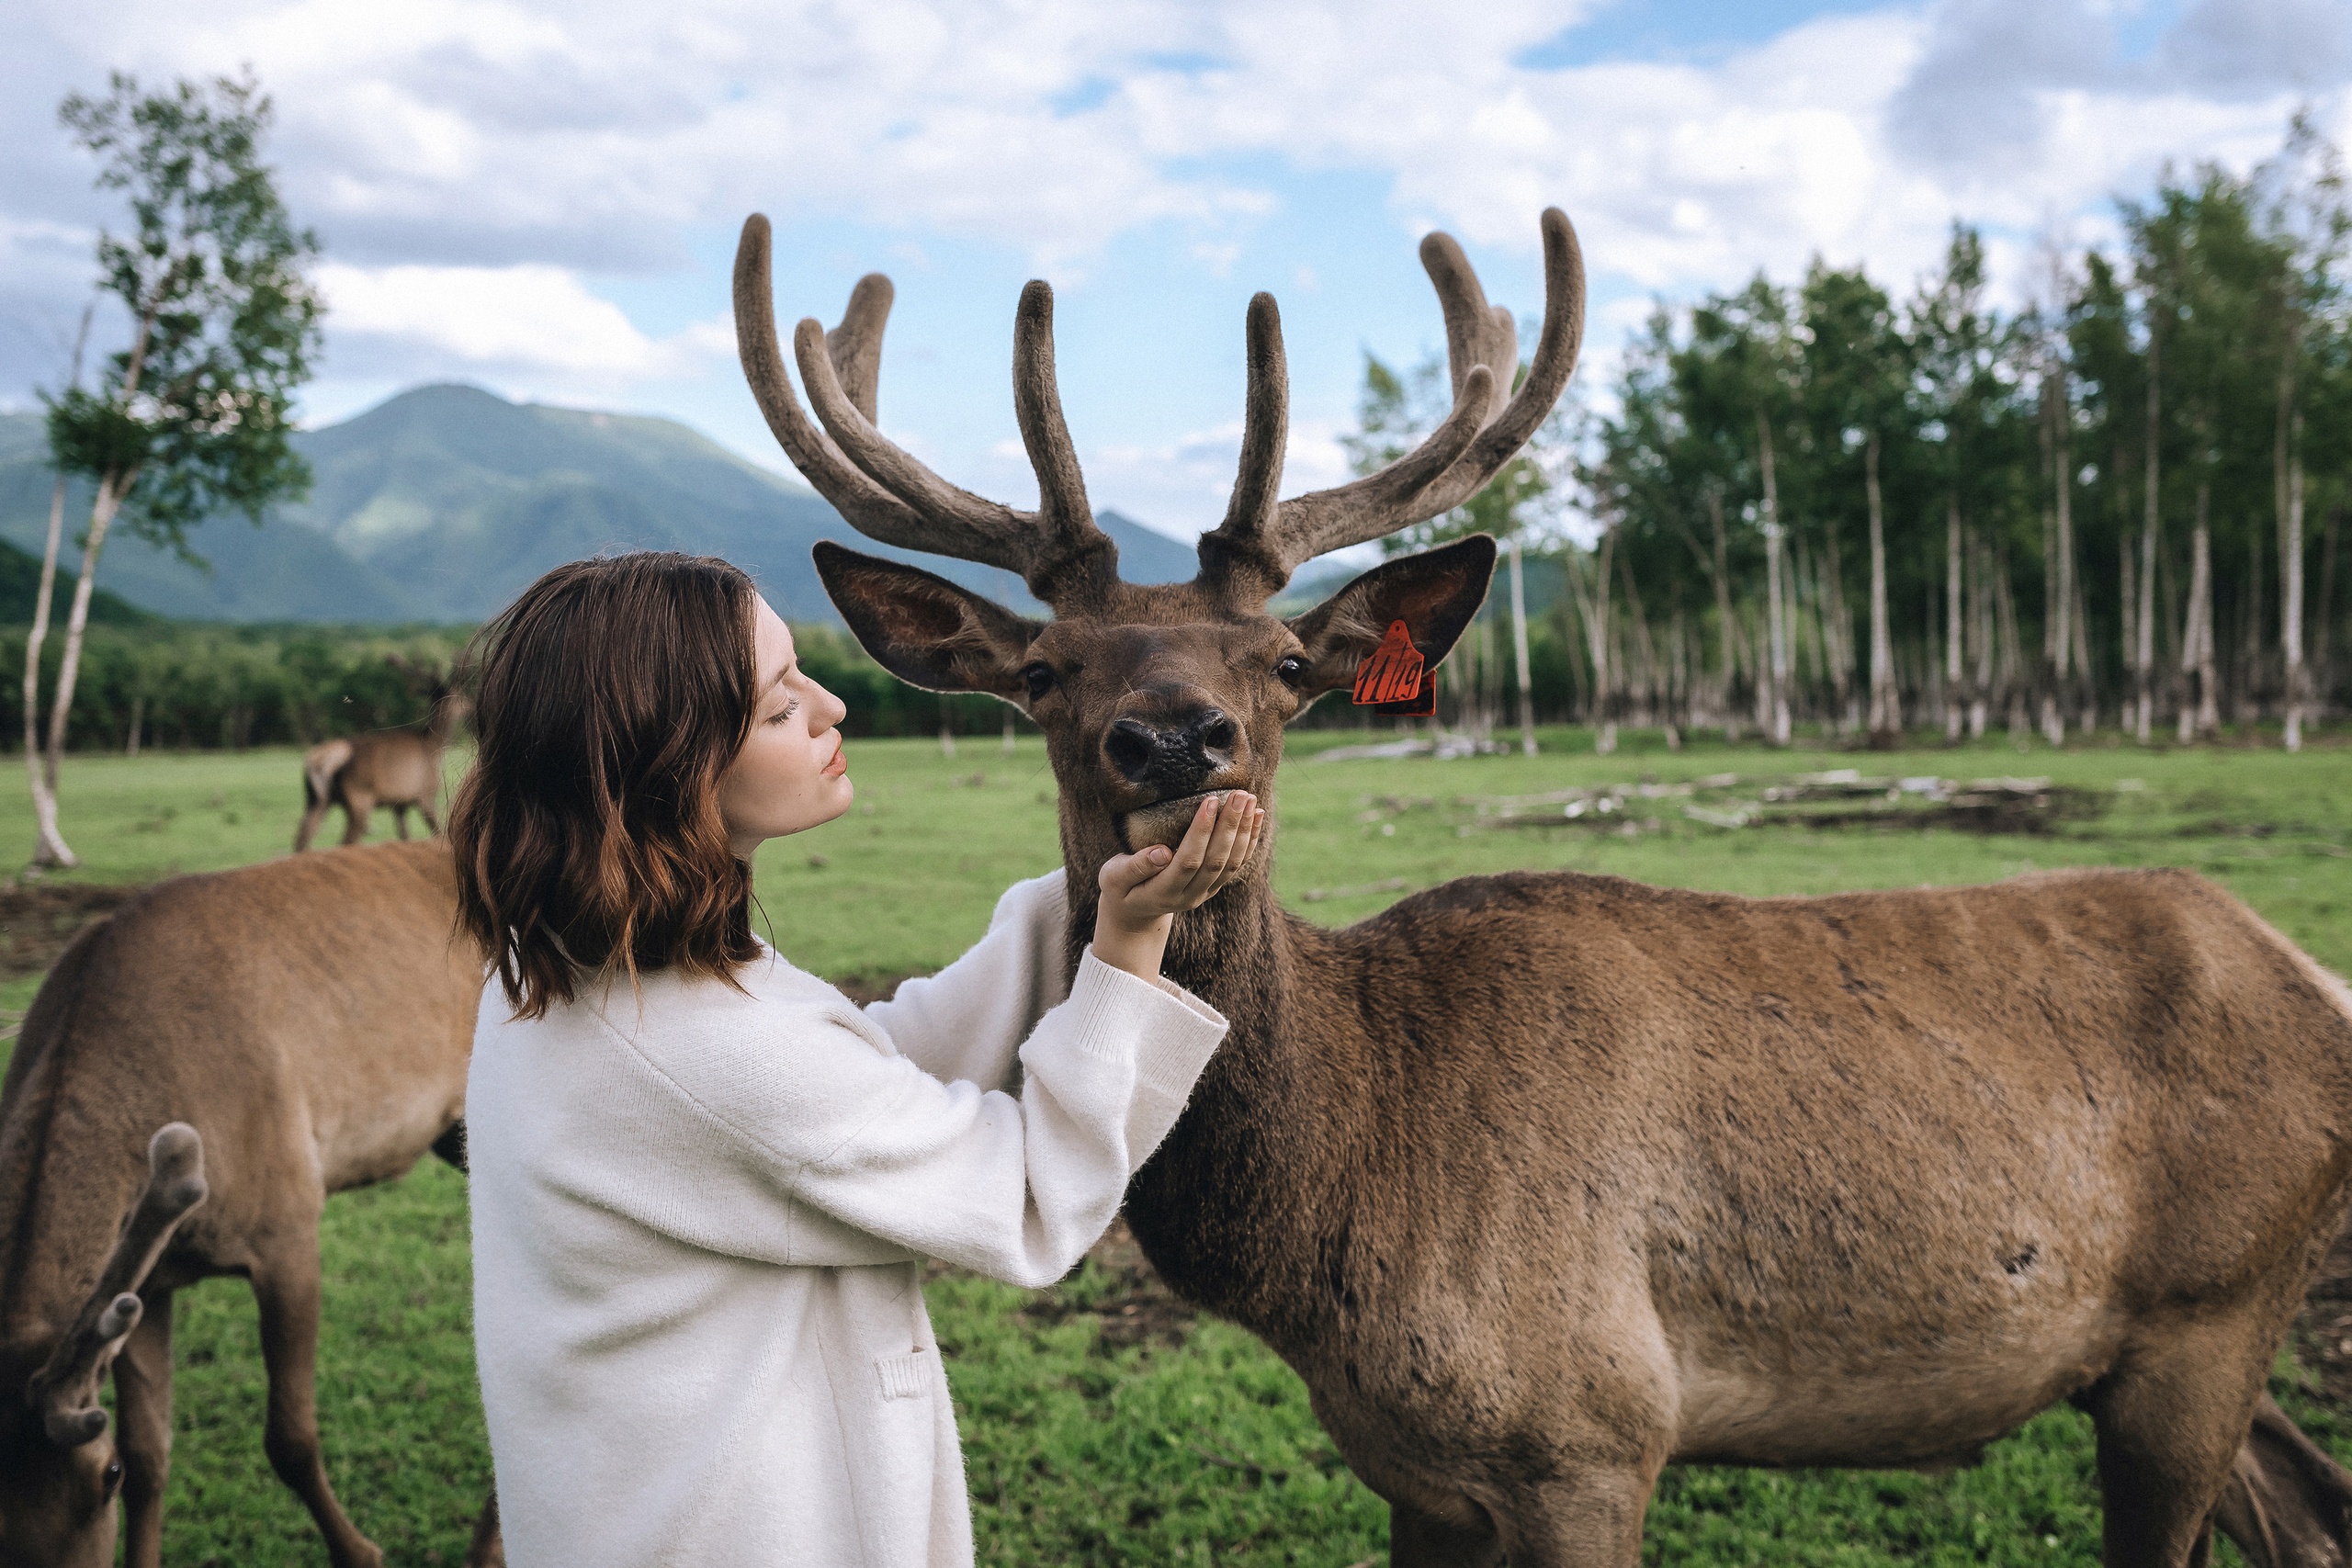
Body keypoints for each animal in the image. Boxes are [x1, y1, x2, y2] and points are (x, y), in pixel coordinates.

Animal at [0, 846, 496, 1568]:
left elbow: (290, 1437)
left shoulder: (286, 1222)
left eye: (103, 1474)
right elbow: (155, 1453)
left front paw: (361, 1551)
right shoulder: (146, 1283)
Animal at [299, 662, 468, 860]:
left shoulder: (399, 805)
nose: (470, 705)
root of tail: (317, 761)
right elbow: (438, 834)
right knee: (346, 841)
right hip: (359, 797)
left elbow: (405, 837)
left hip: (316, 798)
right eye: (460, 695)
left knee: (303, 835)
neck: (434, 744)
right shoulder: (426, 794)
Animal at [733, 211, 2352, 1568]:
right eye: (1046, 670)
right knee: (2305, 1504)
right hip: (2168, 1346)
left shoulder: (1594, 1429)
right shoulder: (1416, 1470)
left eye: (1284, 666)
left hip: (2214, 1307)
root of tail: (2310, 970)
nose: (1175, 737)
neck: (1336, 1222)